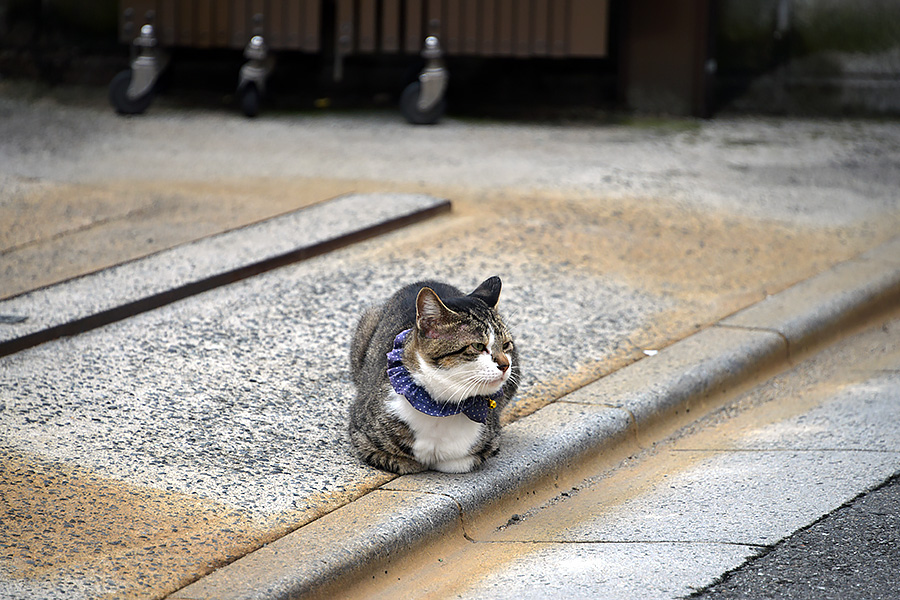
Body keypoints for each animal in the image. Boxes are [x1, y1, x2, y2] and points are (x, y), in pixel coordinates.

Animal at [350, 276, 520, 474]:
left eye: (506, 344)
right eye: (478, 346)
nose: (505, 365)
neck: (440, 409)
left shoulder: (487, 445)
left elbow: (458, 461)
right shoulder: (362, 436)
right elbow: (404, 462)